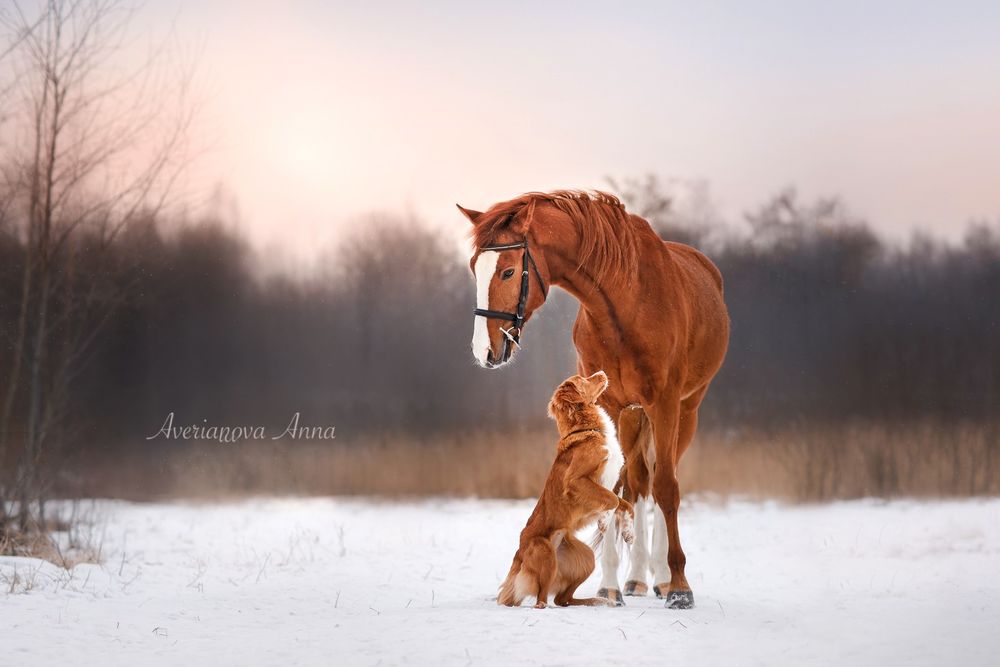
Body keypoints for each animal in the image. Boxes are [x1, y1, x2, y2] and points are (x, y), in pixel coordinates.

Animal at [498, 370, 632, 612]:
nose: (602, 372)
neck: (588, 429)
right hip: (546, 552)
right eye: (583, 379)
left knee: (563, 599)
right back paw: (548, 606)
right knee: (542, 599)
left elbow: (626, 505)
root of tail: (518, 554)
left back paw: (596, 601)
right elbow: (612, 501)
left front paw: (628, 532)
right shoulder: (576, 481)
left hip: (586, 558)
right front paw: (604, 522)